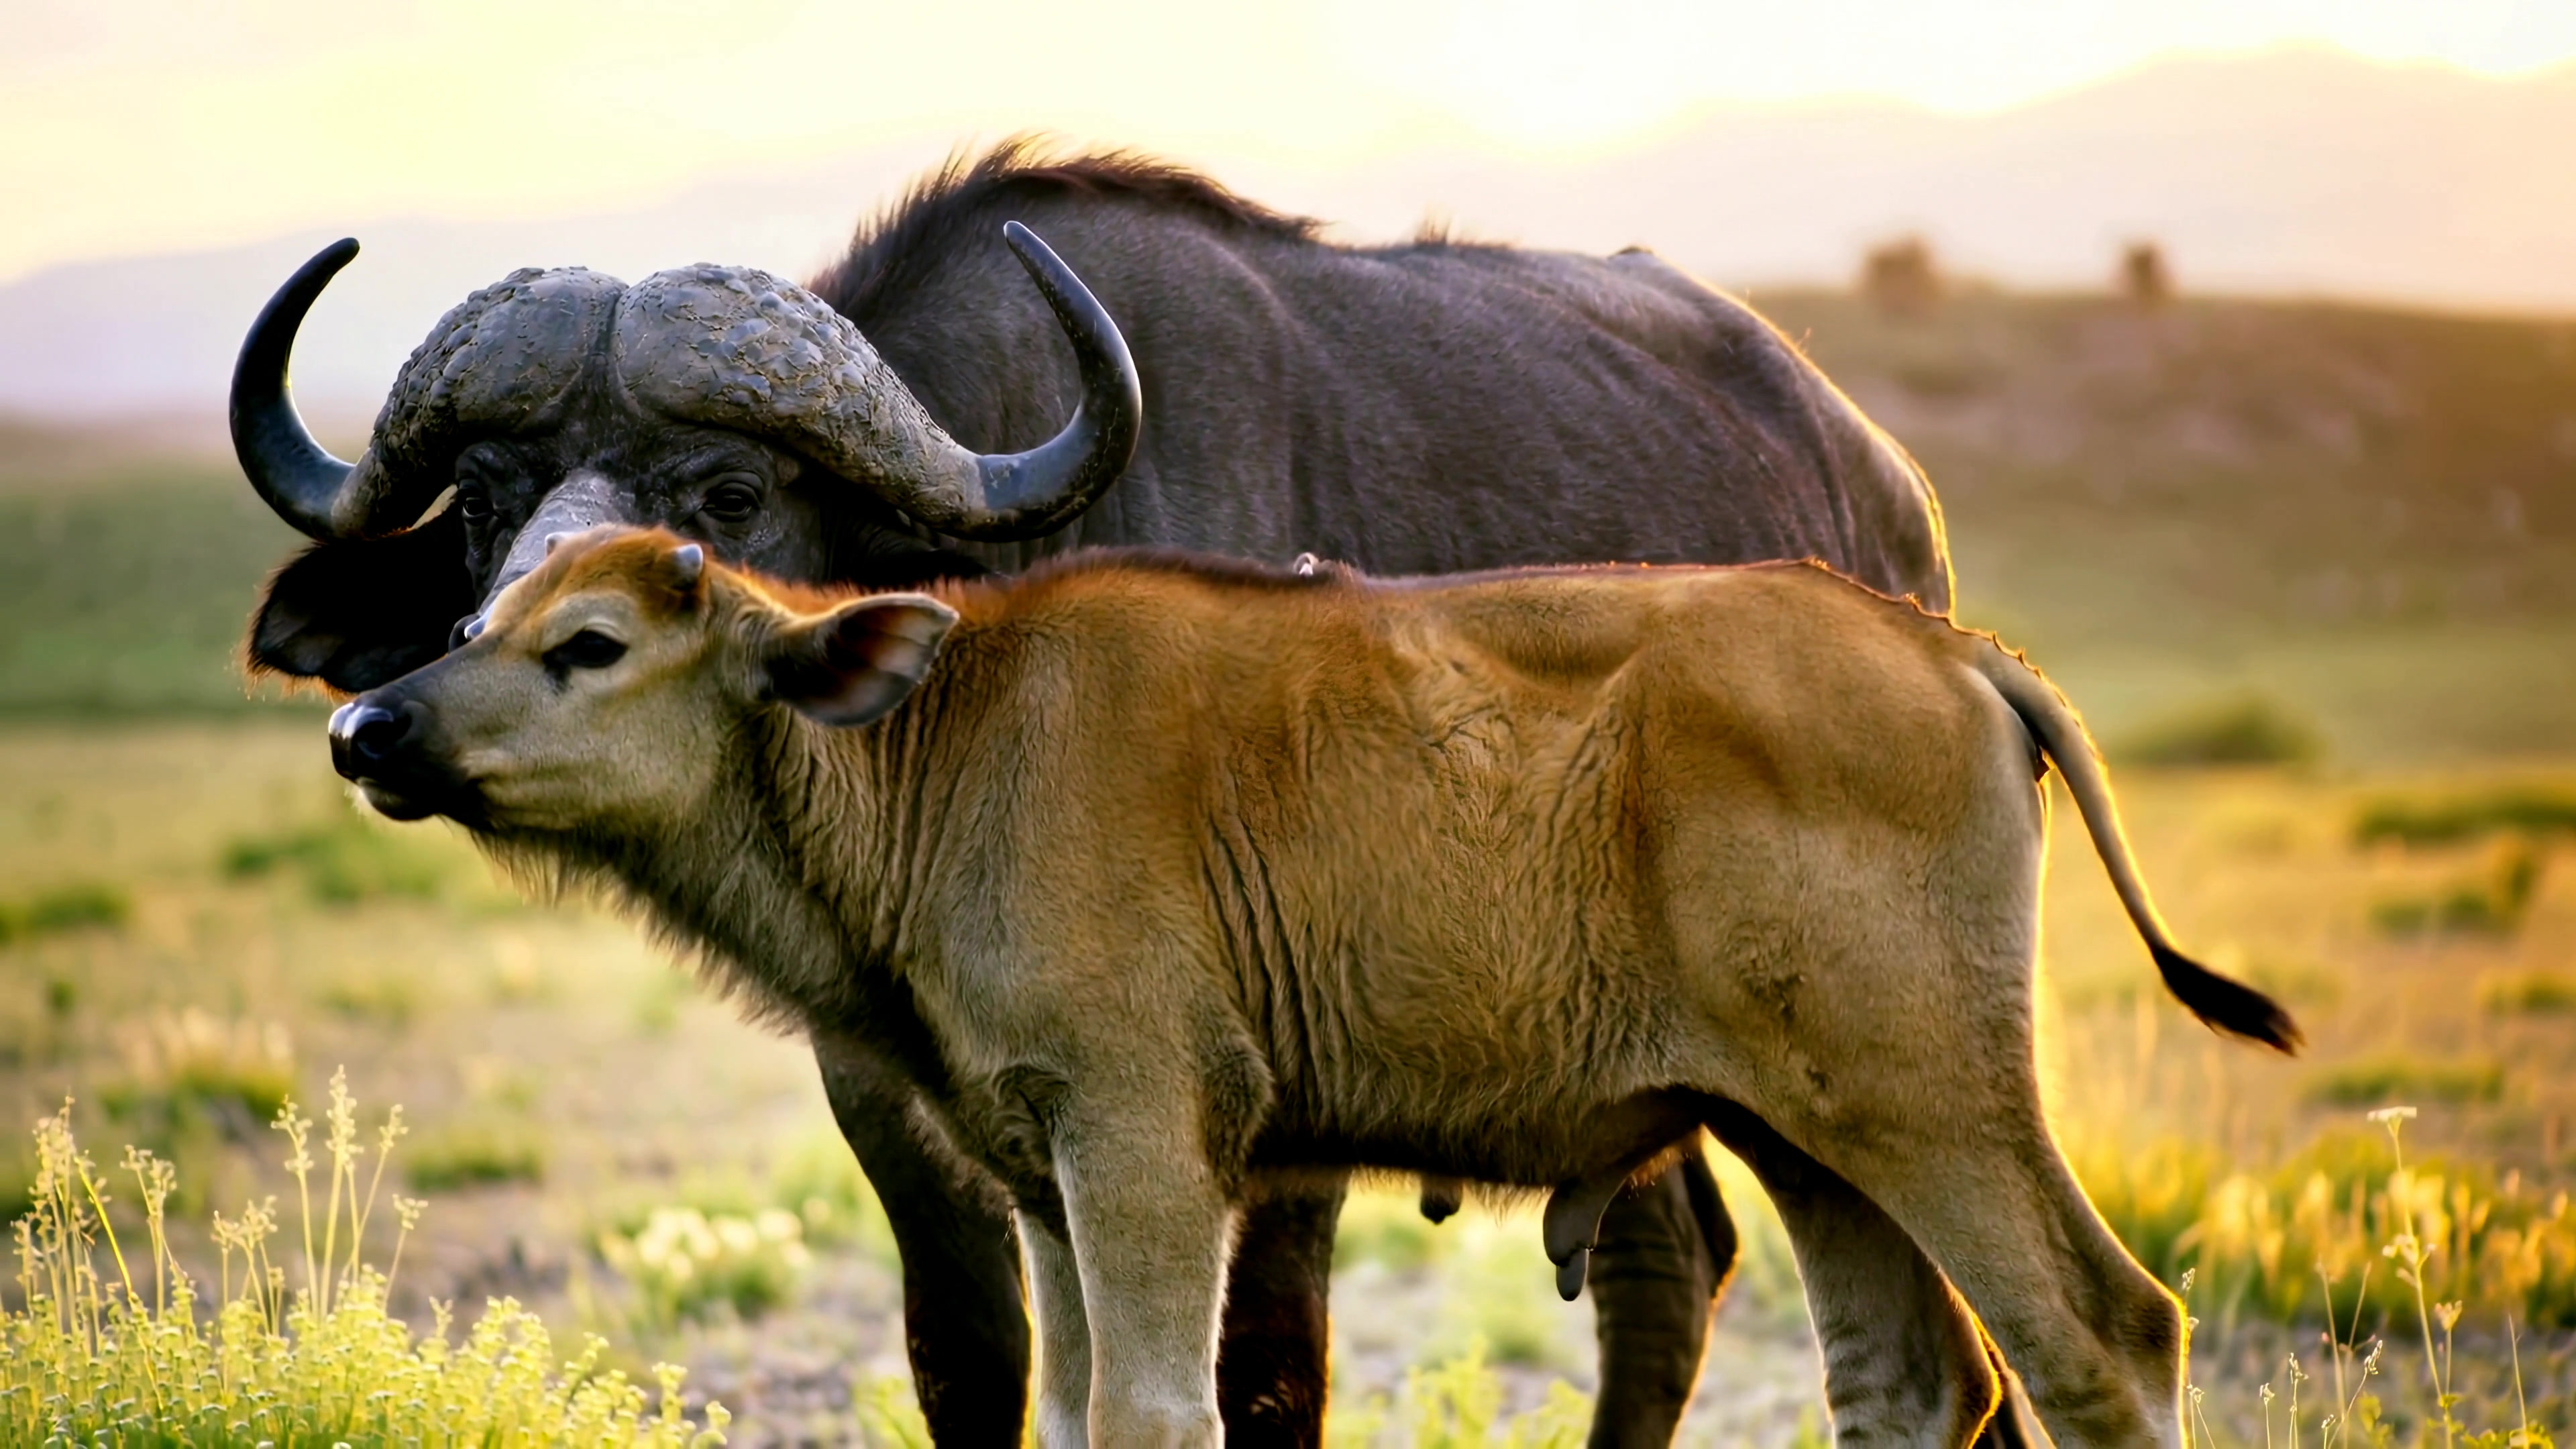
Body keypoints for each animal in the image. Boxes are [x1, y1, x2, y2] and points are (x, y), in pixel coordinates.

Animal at [323, 526, 2299, 1449]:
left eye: (589, 644)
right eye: (480, 618)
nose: (368, 726)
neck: (946, 736)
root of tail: (1951, 648)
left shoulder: (1143, 1153)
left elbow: (1151, 1409)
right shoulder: (1043, 1179)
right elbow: (1069, 1406)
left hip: (1935, 1113)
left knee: (2104, 1336)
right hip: (1812, 1142)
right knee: (1910, 1376)